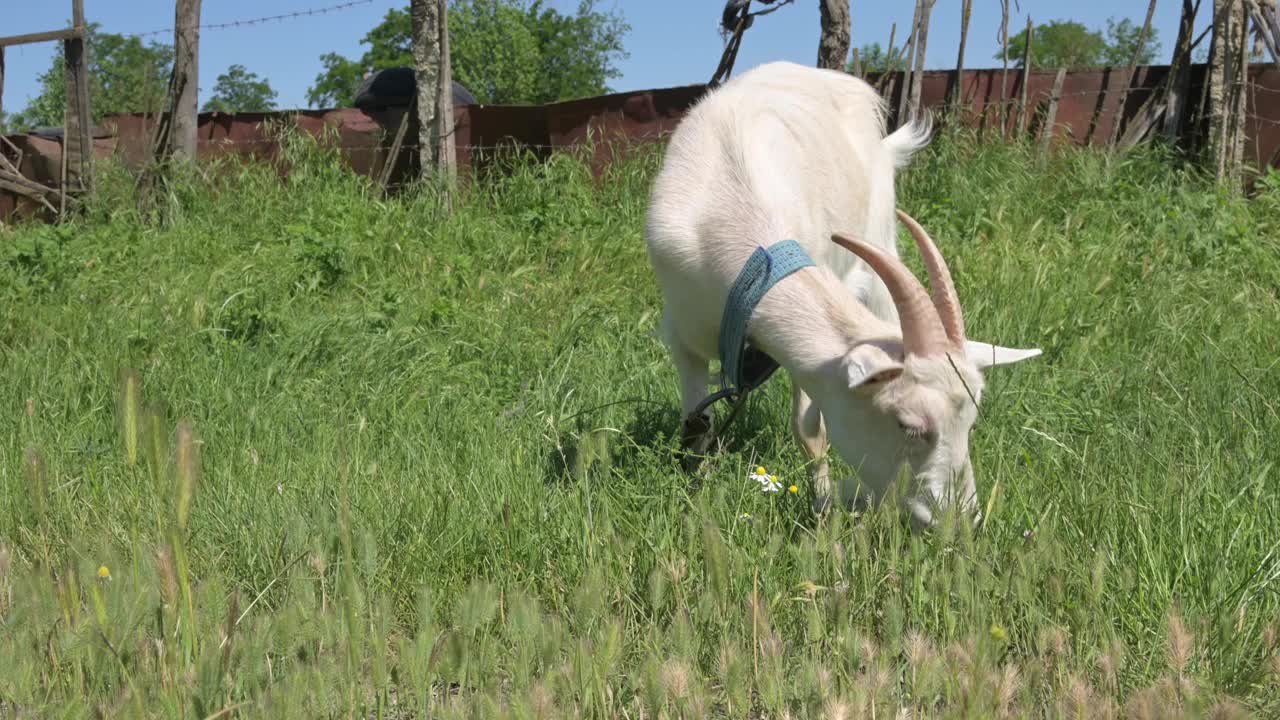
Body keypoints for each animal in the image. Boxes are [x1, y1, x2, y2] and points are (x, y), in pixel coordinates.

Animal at [645, 61, 1044, 527]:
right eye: (909, 425)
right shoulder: (682, 331)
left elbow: (810, 430)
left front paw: (821, 508)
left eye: (970, 421)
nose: (962, 522)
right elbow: (697, 426)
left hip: (880, 239)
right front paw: (695, 497)